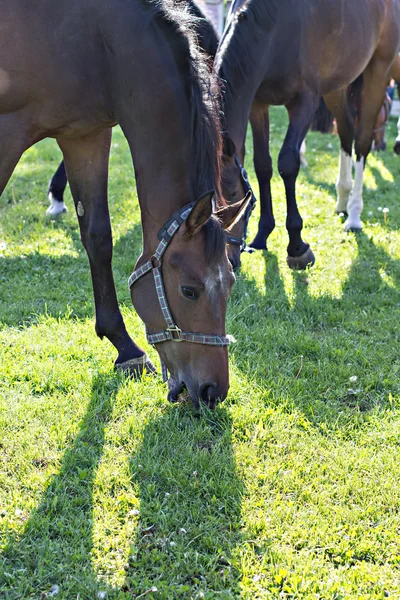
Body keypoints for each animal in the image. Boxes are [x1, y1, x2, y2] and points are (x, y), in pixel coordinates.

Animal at [216, 0, 400, 270]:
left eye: (231, 195)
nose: (227, 261)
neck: (274, 26)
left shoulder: (304, 103)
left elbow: (287, 163)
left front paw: (297, 247)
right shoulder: (258, 104)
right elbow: (263, 165)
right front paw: (262, 234)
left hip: (378, 72)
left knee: (362, 142)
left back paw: (355, 214)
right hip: (336, 84)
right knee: (346, 130)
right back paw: (342, 198)